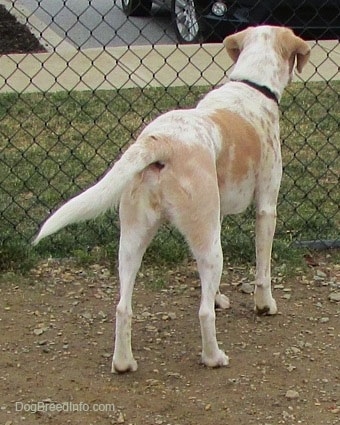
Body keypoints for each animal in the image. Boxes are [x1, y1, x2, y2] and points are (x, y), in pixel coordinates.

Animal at [34, 25, 310, 372]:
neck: (252, 86)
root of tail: (161, 142)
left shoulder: (217, 216)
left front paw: (217, 297)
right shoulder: (266, 209)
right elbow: (263, 270)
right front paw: (264, 305)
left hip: (134, 240)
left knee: (123, 308)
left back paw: (123, 362)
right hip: (207, 243)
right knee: (202, 314)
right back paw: (214, 357)